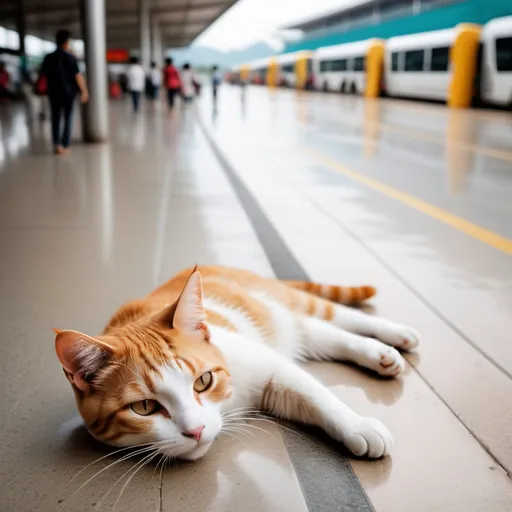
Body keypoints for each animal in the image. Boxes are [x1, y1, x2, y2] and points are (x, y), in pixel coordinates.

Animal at [54, 266, 418, 462]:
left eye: (203, 382)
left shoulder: (270, 365)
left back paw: (395, 336)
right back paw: (382, 355)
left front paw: (358, 426)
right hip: (285, 322)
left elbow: (318, 396)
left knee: (340, 318)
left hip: (284, 307)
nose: (196, 431)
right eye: (143, 407)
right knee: (323, 334)